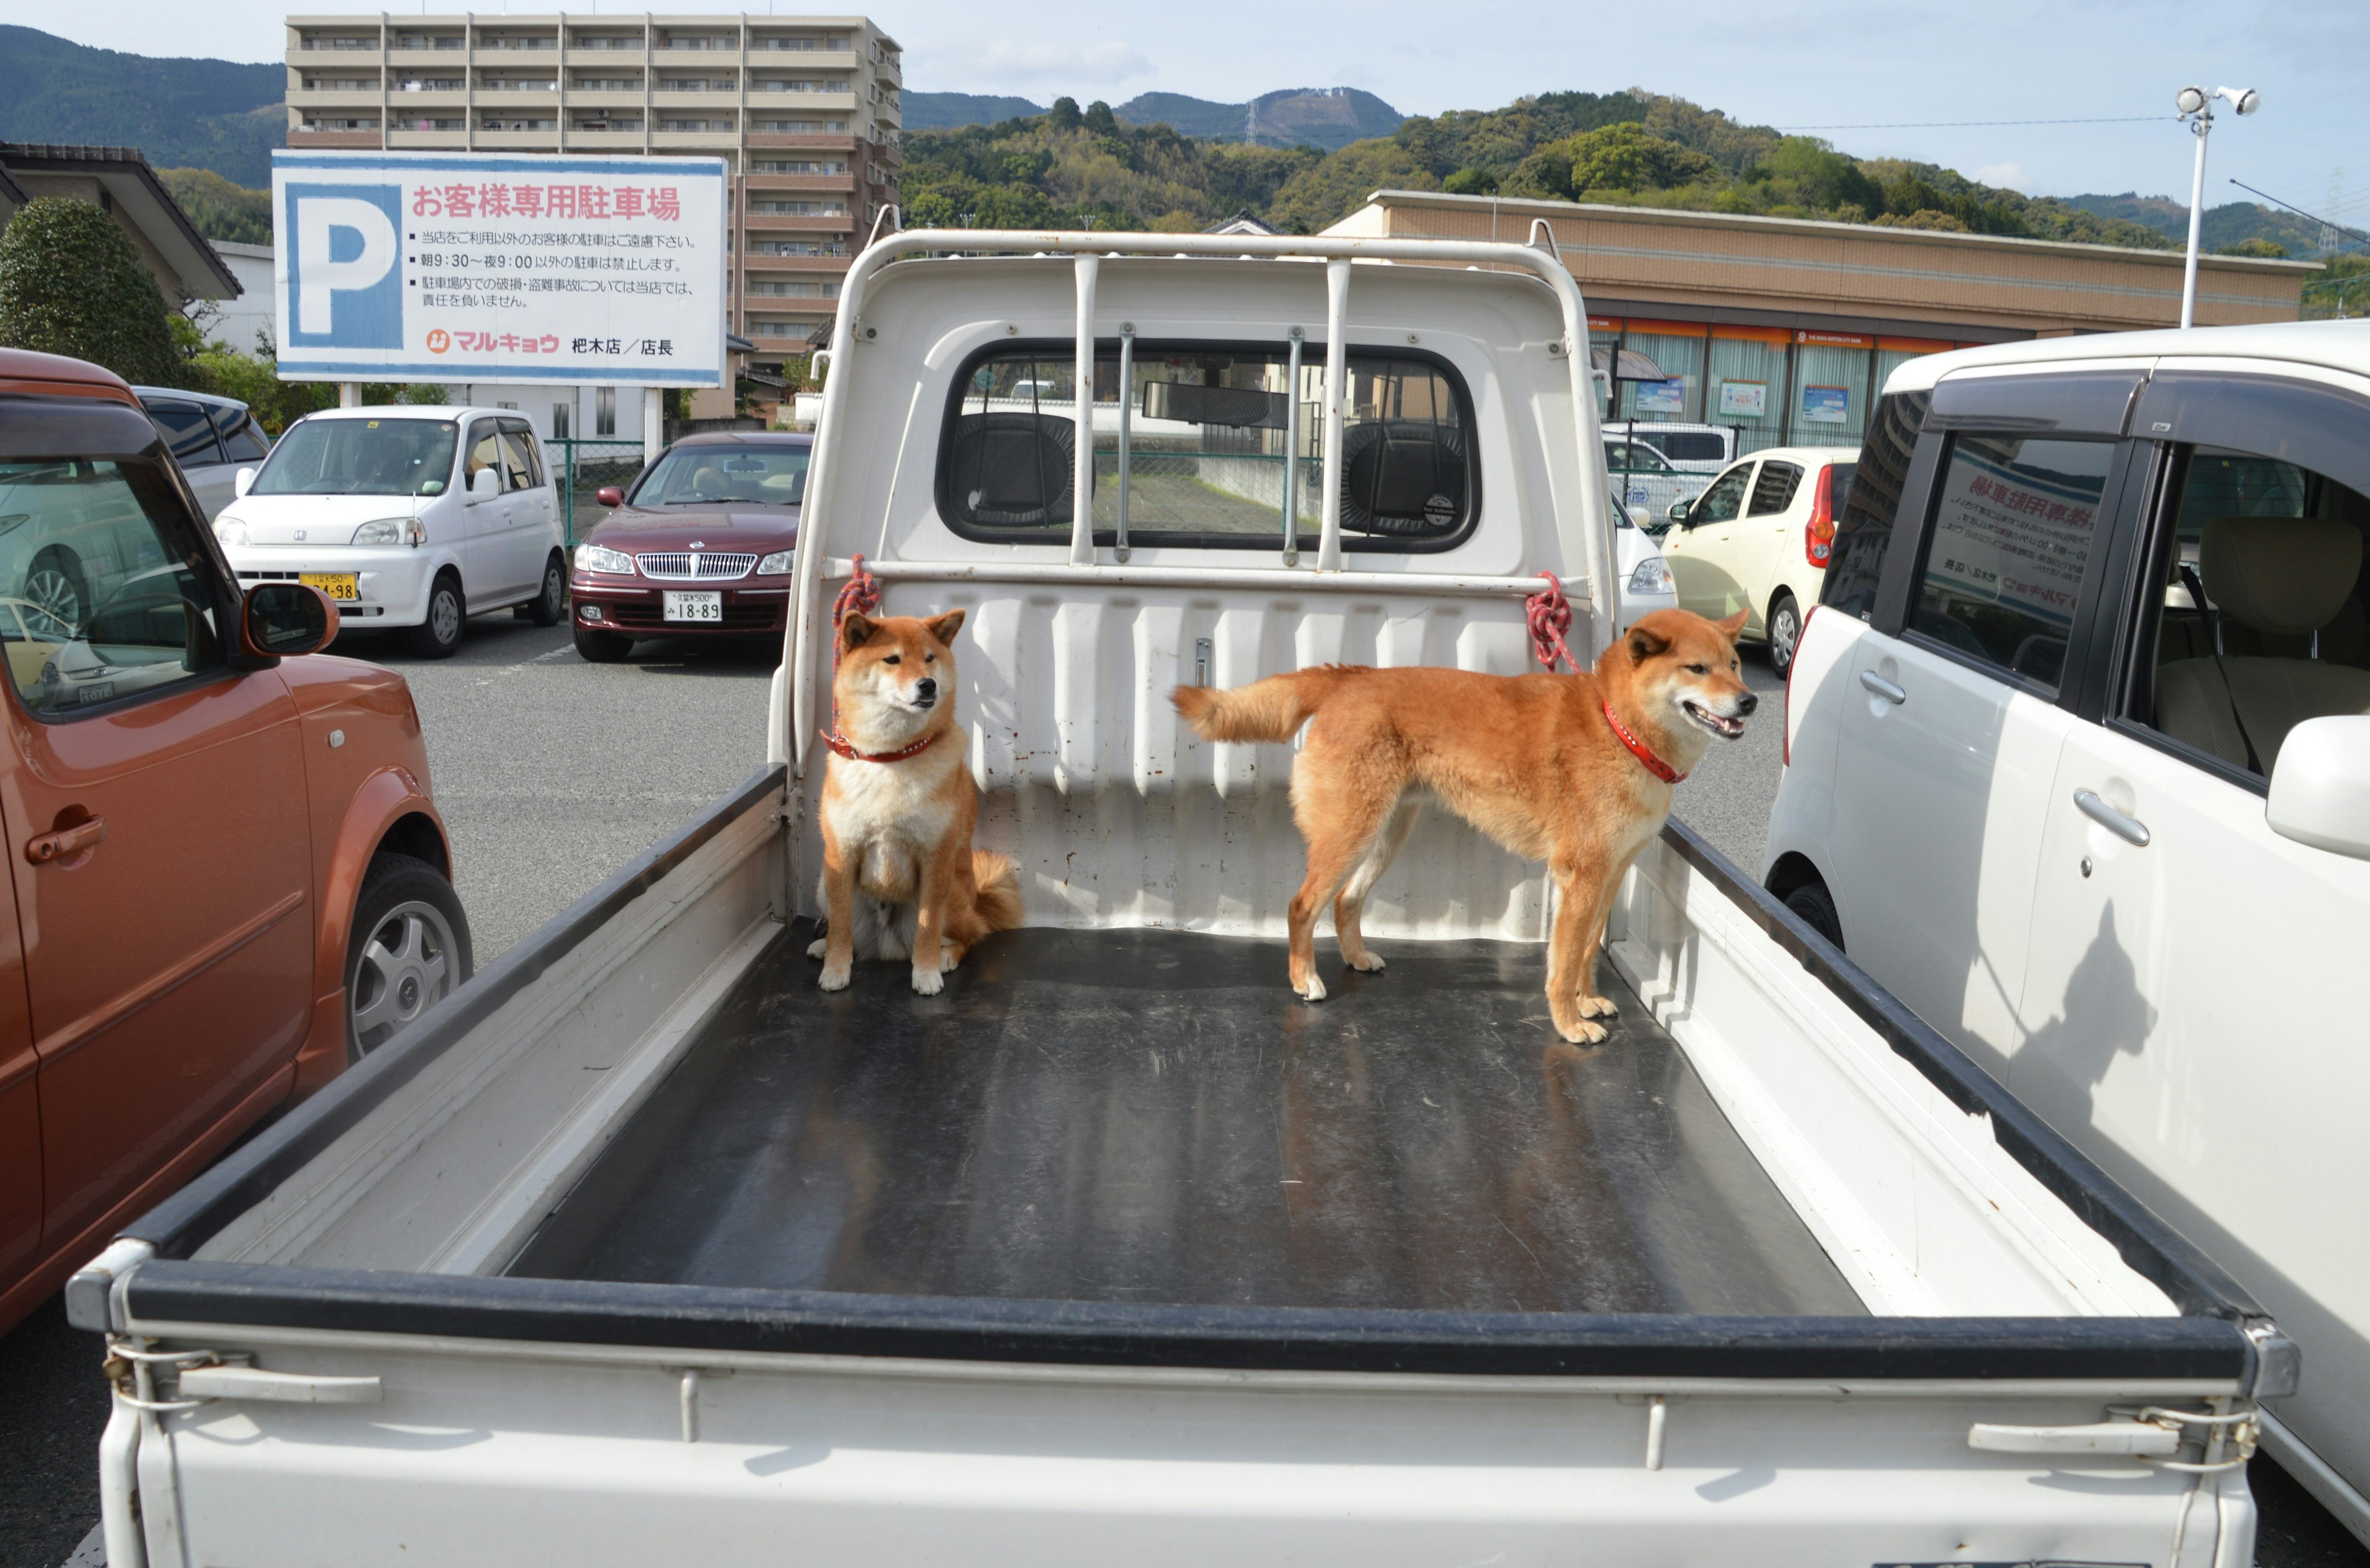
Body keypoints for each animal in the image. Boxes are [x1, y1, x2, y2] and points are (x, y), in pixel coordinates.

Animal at [815, 611, 1019, 995]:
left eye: (929, 658)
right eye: (892, 659)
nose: (928, 685)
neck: (890, 758)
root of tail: (886, 944)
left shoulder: (935, 859)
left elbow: (928, 927)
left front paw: (926, 974)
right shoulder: (841, 856)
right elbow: (839, 928)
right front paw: (835, 970)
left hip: (954, 896)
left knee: (970, 936)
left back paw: (946, 957)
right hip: (823, 886)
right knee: (844, 929)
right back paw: (823, 947)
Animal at [1175, 611, 1753, 1042]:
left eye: (1735, 664)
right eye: (1697, 668)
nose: (1750, 700)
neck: (1619, 728)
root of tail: (1351, 674)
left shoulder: (1610, 876)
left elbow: (1587, 952)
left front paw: (1587, 1001)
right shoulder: (1582, 878)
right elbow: (1564, 962)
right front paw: (1569, 1023)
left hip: (1387, 834)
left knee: (1345, 901)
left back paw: (1357, 958)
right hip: (1350, 834)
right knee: (1302, 905)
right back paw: (1305, 979)